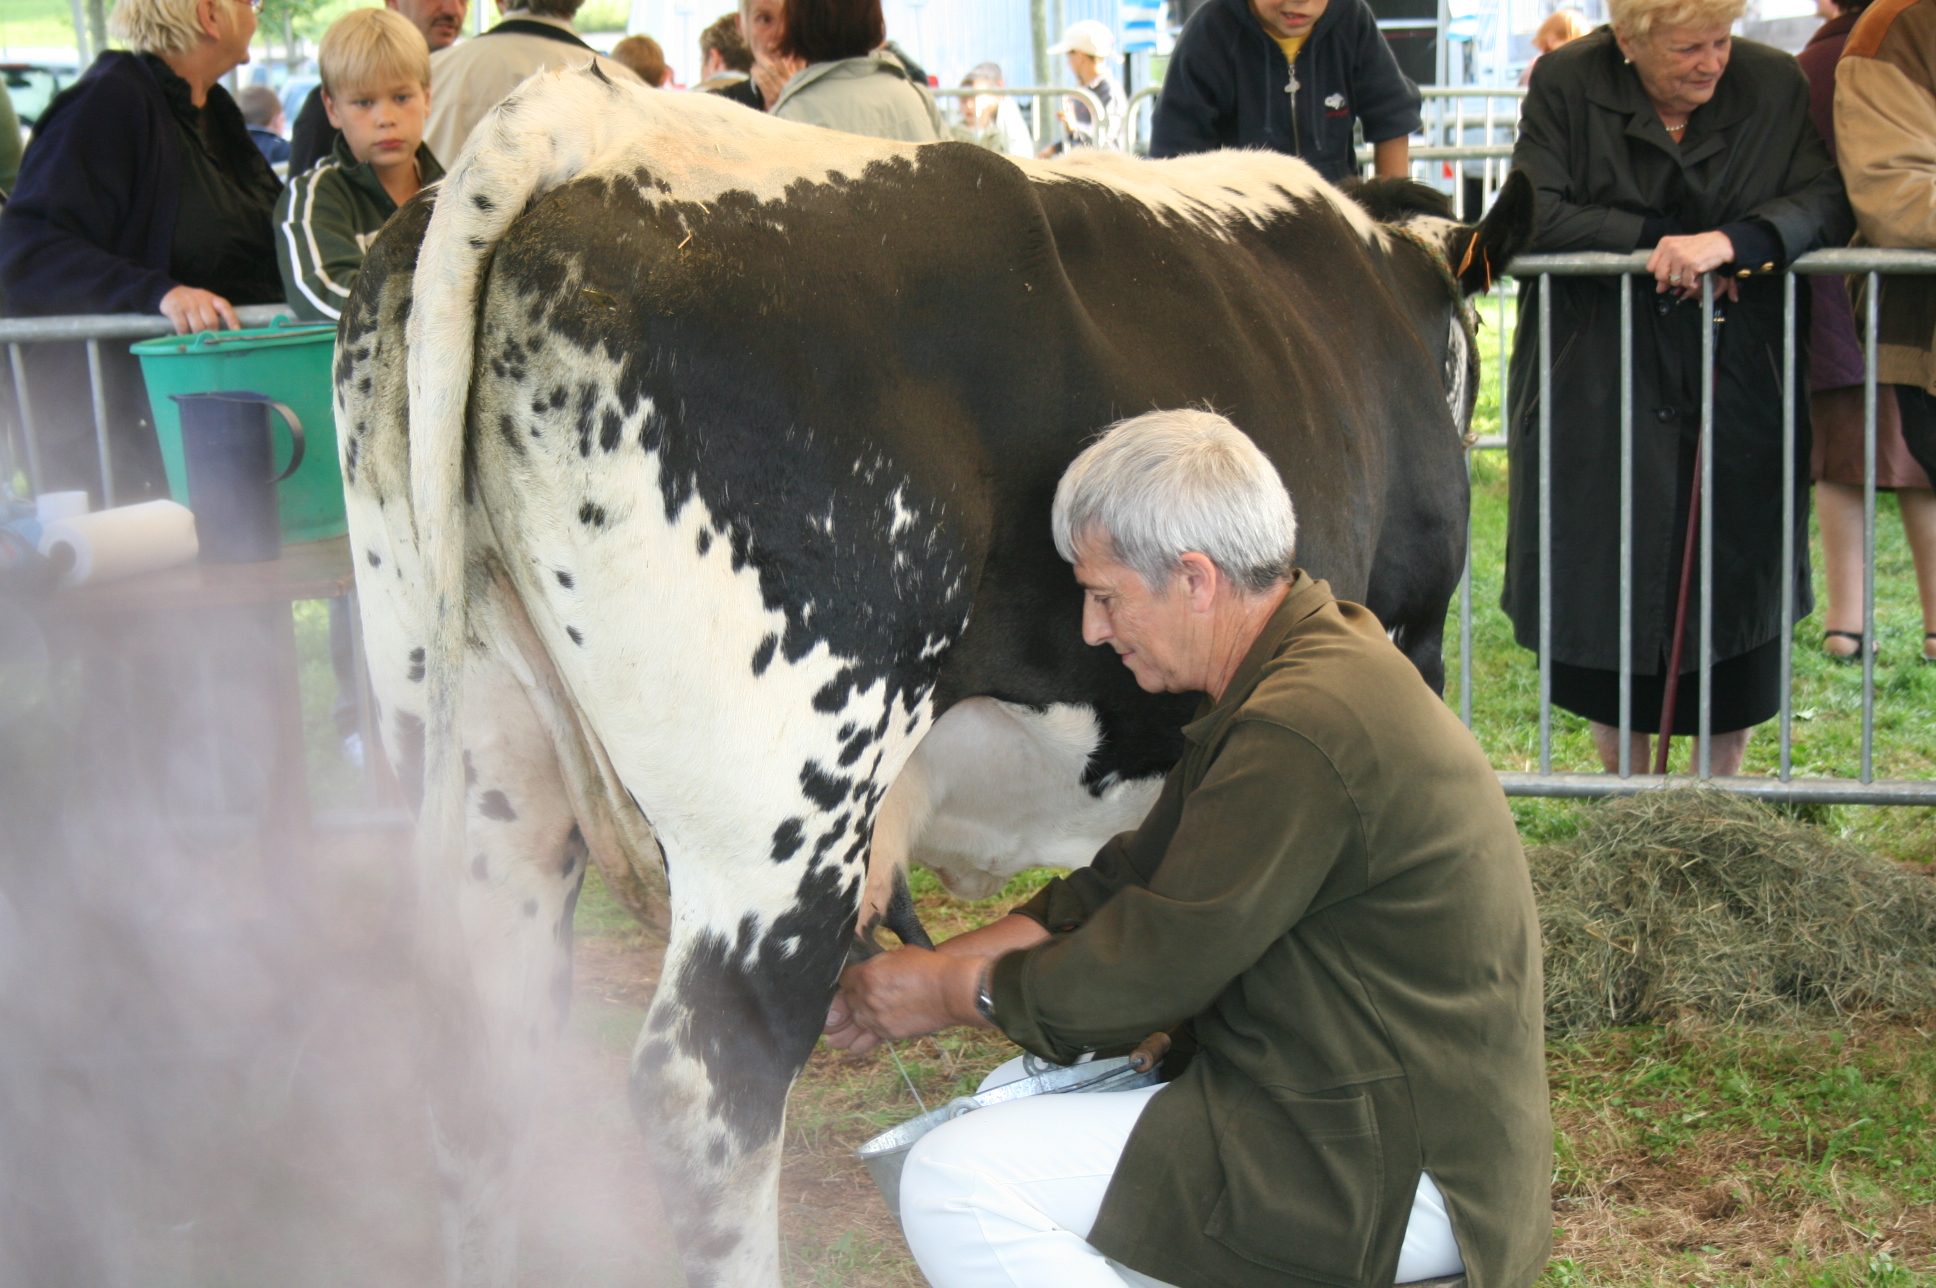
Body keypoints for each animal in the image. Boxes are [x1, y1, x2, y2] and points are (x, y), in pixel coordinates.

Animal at [340, 67, 1533, 1286]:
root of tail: (590, 116)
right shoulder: (1408, 631)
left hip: (486, 763)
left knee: (483, 1054)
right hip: (777, 806)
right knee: (708, 1085)